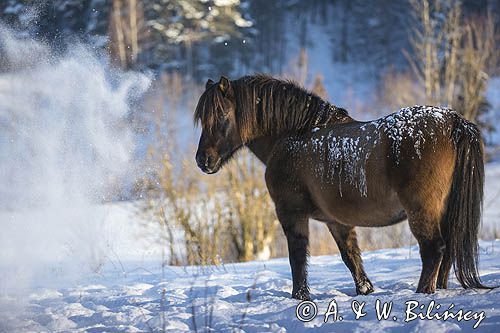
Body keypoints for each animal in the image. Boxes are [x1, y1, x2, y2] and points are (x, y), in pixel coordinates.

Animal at [194, 74, 488, 300]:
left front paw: (300, 297)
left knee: (433, 250)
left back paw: (422, 293)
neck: (292, 136)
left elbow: (297, 258)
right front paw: (365, 290)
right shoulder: (337, 221)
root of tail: (454, 122)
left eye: (221, 114)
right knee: (447, 252)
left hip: (421, 211)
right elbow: (351, 257)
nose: (203, 160)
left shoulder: (291, 214)